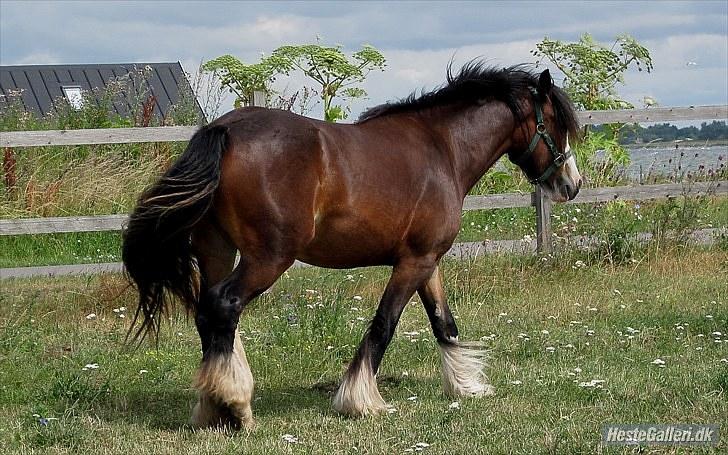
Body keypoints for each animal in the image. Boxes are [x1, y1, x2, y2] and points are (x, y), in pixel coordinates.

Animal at [122, 62, 584, 430]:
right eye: (556, 125)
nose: (572, 185)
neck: (443, 150)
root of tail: (225, 130)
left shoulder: (427, 261)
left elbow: (444, 323)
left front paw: (466, 385)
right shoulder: (413, 262)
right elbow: (384, 325)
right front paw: (359, 400)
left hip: (218, 252)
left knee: (210, 315)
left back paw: (214, 405)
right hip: (267, 259)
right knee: (224, 305)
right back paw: (235, 406)